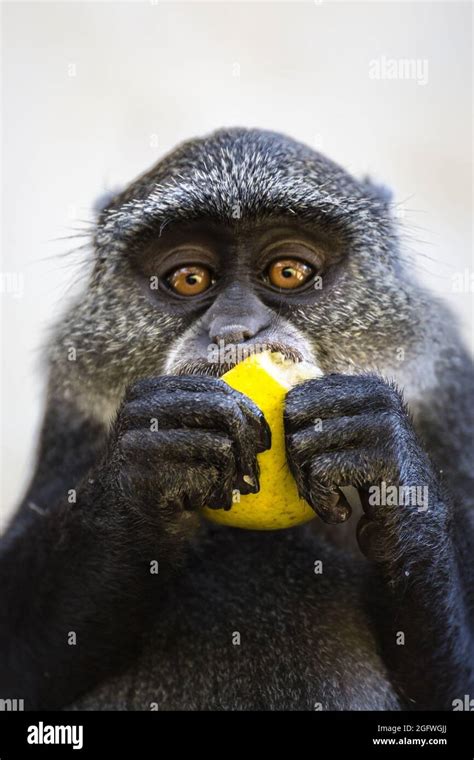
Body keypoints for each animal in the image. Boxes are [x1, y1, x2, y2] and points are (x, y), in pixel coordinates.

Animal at [0, 127, 472, 708]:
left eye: (289, 272)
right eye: (189, 278)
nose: (233, 329)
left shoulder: (449, 395)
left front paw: (382, 454)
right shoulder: (72, 410)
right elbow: (21, 670)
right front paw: (153, 452)